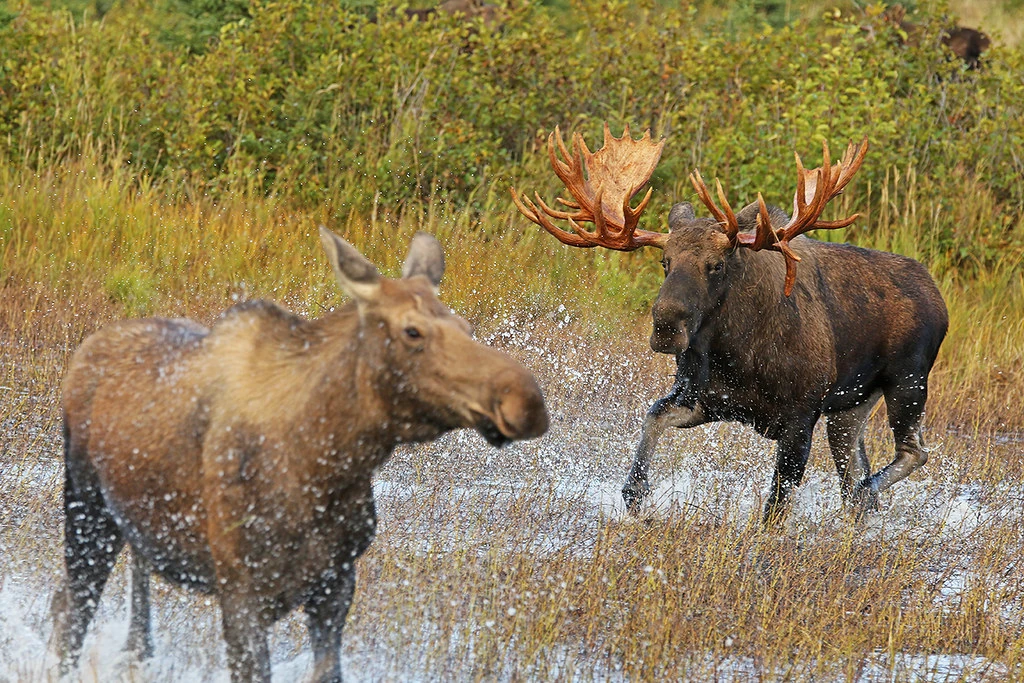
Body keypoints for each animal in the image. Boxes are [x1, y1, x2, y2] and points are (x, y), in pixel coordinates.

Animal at [53, 228, 549, 682]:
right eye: (412, 330)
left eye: (467, 328)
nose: (525, 399)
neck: (321, 466)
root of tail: (86, 351)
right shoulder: (240, 591)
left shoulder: (336, 582)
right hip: (86, 509)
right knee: (69, 612)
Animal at [512, 124, 947, 525]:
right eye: (665, 261)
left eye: (716, 265)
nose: (666, 326)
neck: (737, 353)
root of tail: (937, 294)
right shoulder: (704, 397)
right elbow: (652, 418)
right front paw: (635, 493)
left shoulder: (800, 415)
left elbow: (776, 506)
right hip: (850, 405)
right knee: (855, 469)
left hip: (907, 381)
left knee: (911, 453)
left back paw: (867, 490)